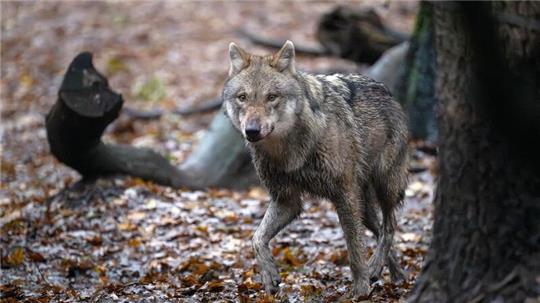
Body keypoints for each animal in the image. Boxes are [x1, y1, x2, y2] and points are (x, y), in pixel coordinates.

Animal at [221, 41, 408, 300]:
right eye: (242, 97)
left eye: (271, 97)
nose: (252, 131)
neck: (288, 151)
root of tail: (387, 91)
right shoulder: (286, 200)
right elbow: (256, 238)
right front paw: (269, 276)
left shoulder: (344, 196)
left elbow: (354, 251)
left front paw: (360, 291)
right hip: (364, 206)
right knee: (380, 230)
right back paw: (393, 274)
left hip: (384, 186)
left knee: (390, 226)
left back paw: (376, 268)